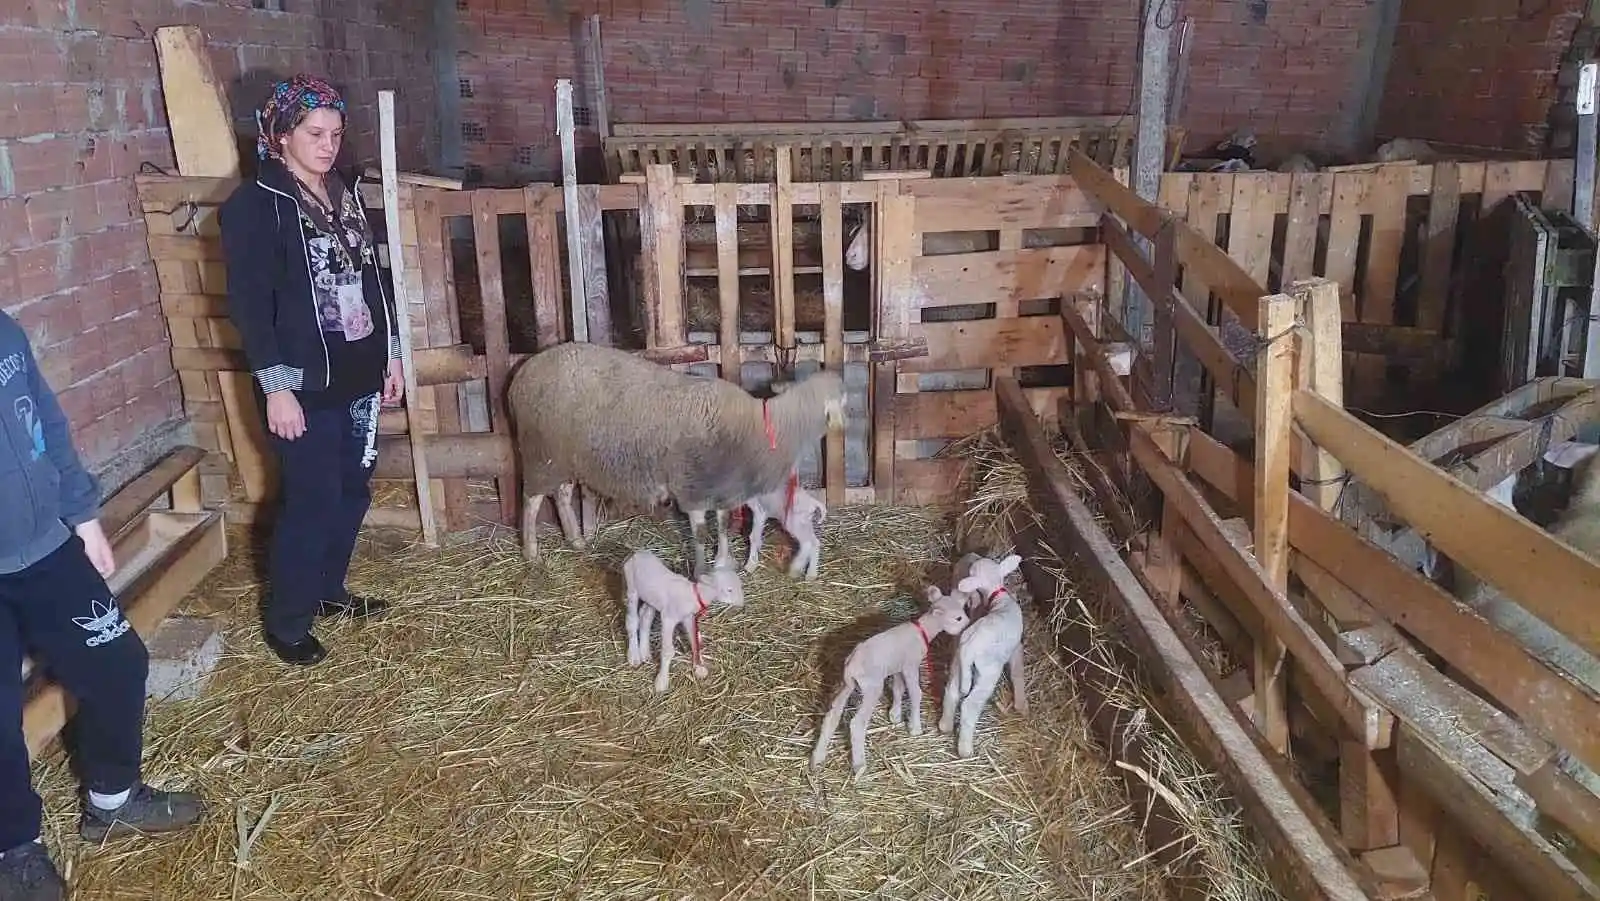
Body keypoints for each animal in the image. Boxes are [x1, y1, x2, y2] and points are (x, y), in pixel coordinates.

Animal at [508, 342, 851, 576]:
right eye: (843, 399)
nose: (845, 423)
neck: (761, 427)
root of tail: (523, 372)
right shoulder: (693, 487)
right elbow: (699, 532)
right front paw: (701, 571)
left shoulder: (723, 489)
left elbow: (722, 526)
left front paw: (722, 561)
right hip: (540, 454)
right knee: (531, 501)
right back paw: (531, 552)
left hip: (565, 457)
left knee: (562, 495)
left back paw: (575, 539)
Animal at [624, 544, 748, 697]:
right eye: (729, 590)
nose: (742, 604)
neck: (695, 595)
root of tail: (638, 553)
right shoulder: (668, 618)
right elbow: (668, 651)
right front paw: (661, 682)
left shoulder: (688, 617)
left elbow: (694, 641)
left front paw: (699, 667)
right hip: (631, 587)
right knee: (632, 620)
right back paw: (634, 655)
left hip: (651, 598)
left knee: (645, 617)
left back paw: (645, 652)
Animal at [806, 585, 966, 774]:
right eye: (958, 618)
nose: (967, 625)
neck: (924, 630)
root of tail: (852, 666)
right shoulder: (910, 665)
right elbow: (915, 693)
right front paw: (915, 728)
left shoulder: (897, 667)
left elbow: (898, 689)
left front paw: (894, 716)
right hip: (872, 687)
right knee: (857, 723)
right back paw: (859, 766)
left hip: (846, 684)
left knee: (832, 715)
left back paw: (817, 759)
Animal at [934, 553, 1024, 758]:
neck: (1000, 598)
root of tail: (968, 649)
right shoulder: (1016, 648)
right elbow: (1017, 672)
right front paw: (1022, 704)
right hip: (987, 673)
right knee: (969, 706)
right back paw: (965, 749)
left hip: (959, 666)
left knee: (951, 692)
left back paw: (945, 725)